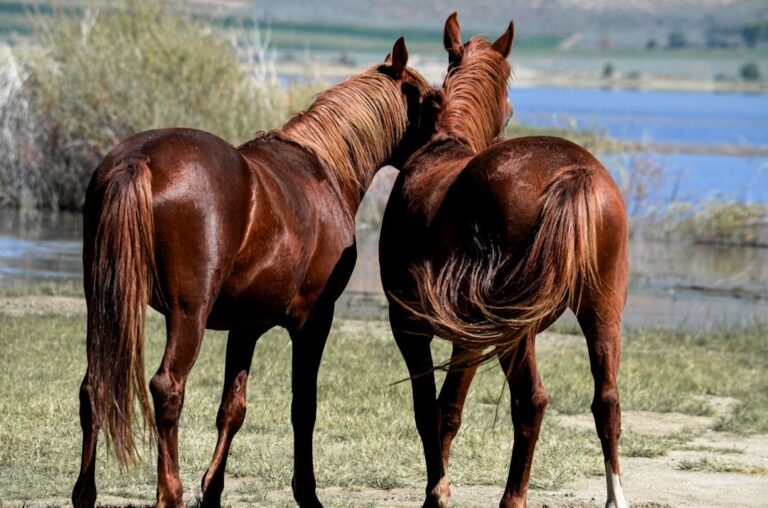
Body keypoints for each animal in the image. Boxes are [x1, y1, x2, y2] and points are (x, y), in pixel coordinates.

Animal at [72, 37, 431, 508]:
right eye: (430, 98)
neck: (324, 171)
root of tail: (139, 160)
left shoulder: (246, 328)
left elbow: (232, 409)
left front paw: (213, 491)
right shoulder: (314, 321)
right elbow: (304, 407)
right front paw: (306, 493)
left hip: (103, 304)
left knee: (93, 388)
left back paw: (86, 493)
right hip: (187, 316)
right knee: (167, 388)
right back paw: (170, 492)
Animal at [380, 14, 629, 508]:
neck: (444, 148)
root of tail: (575, 173)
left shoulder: (410, 329)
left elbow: (426, 410)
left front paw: (436, 493)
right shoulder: (469, 340)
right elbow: (449, 412)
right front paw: (439, 488)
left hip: (517, 329)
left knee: (530, 401)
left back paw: (512, 497)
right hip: (601, 310)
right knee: (606, 402)